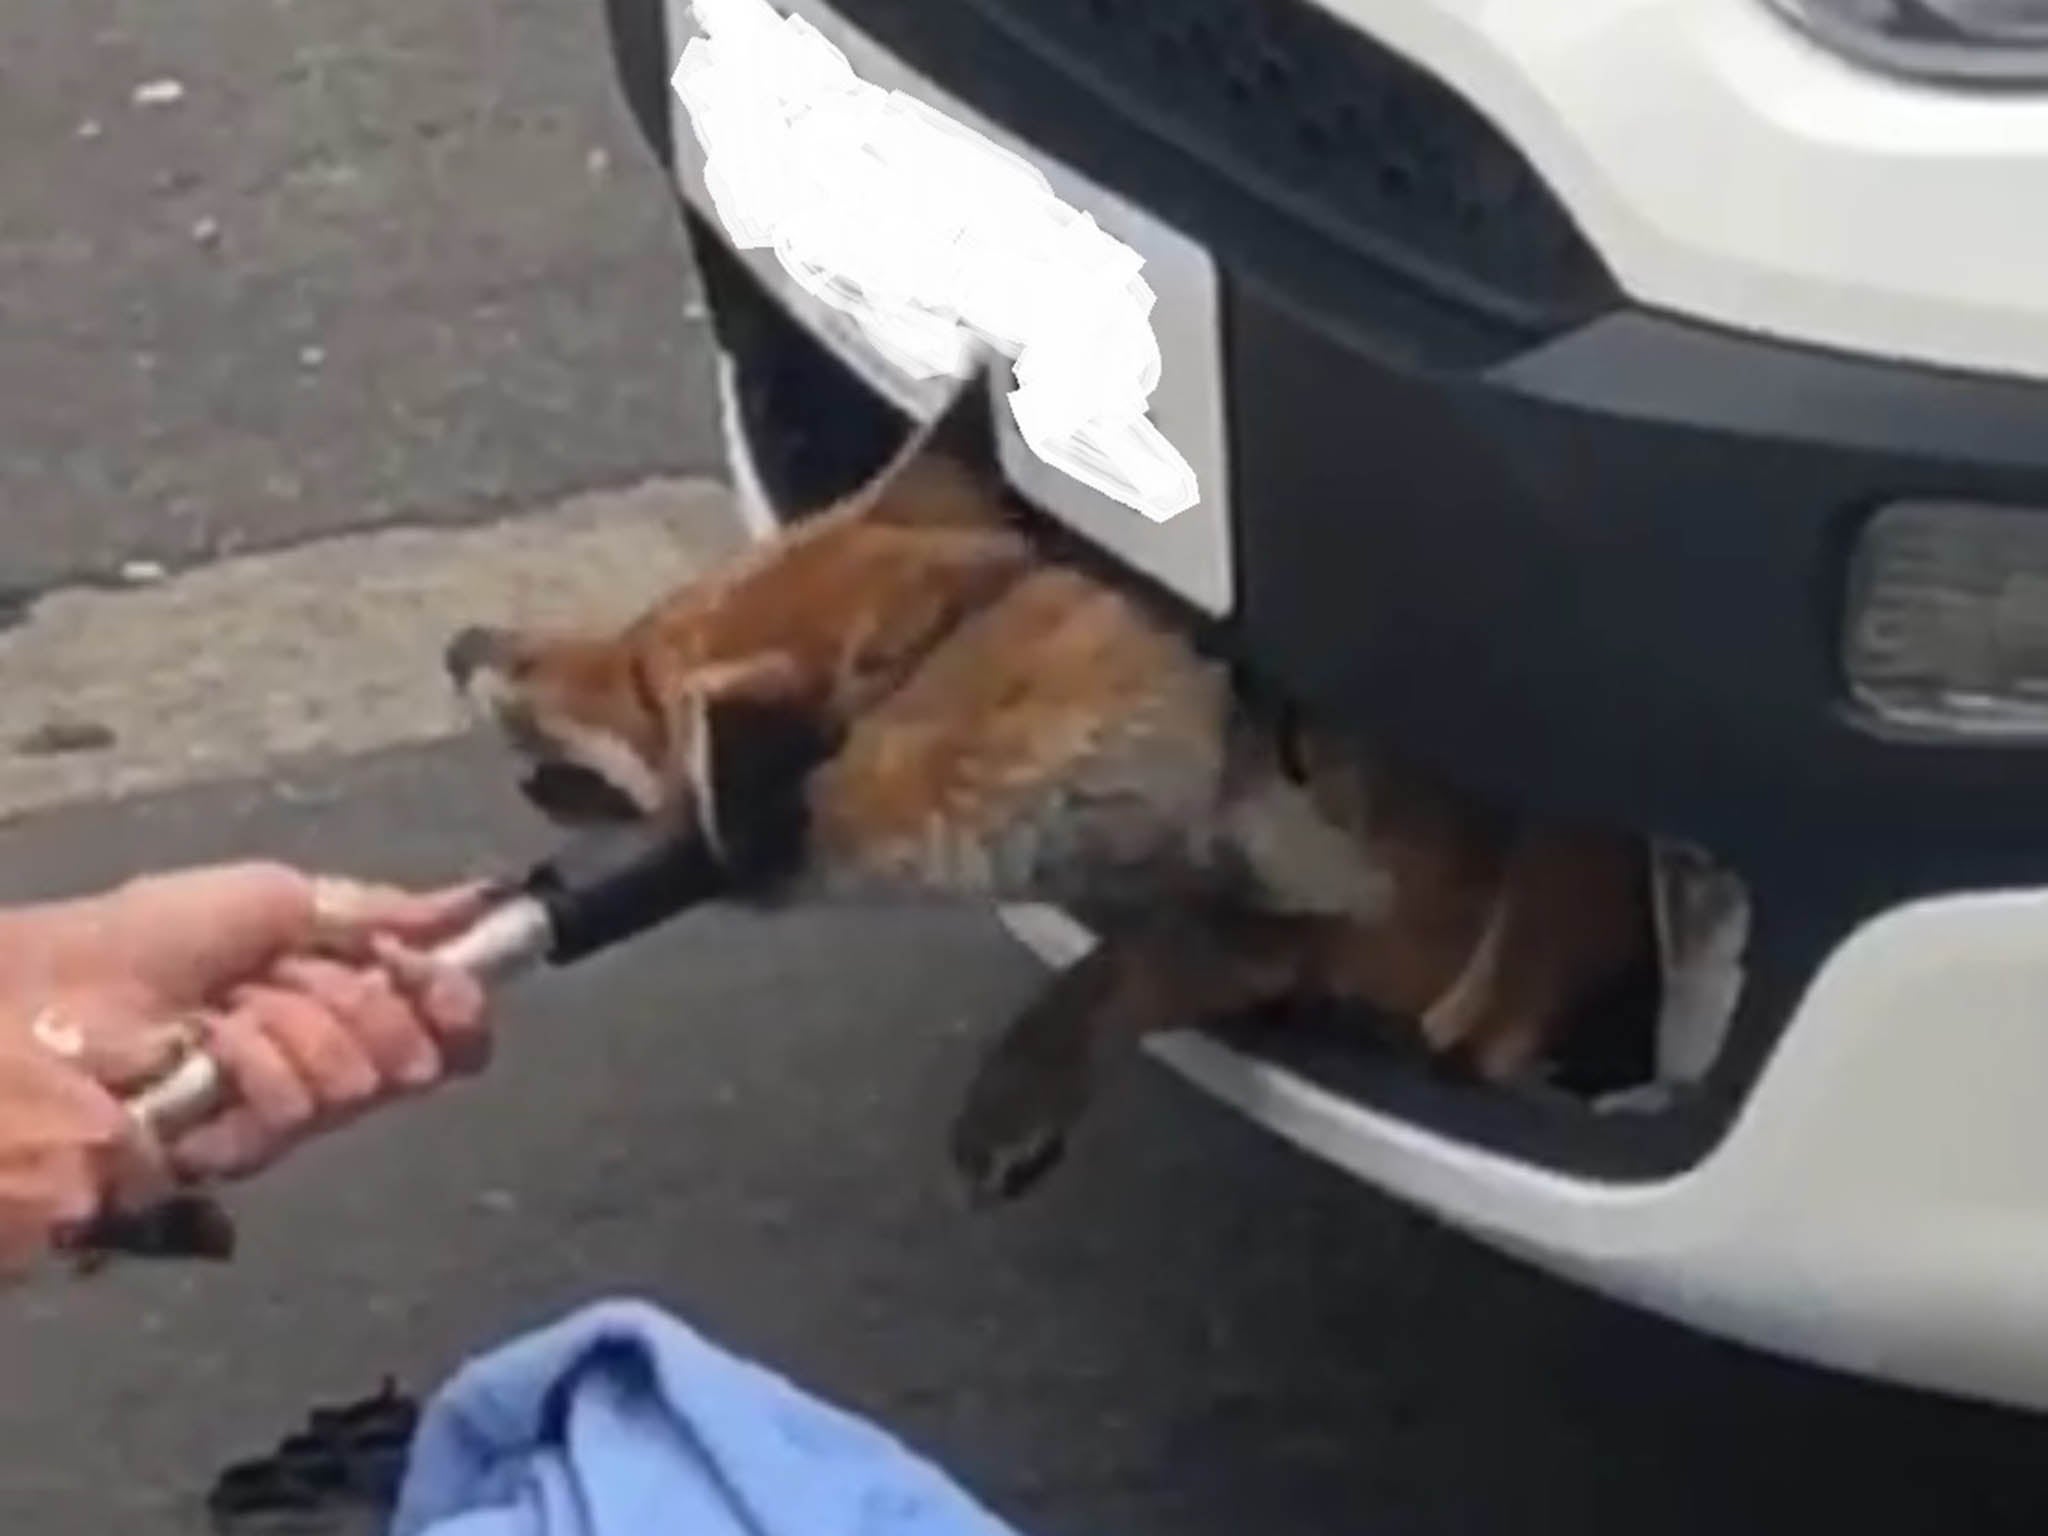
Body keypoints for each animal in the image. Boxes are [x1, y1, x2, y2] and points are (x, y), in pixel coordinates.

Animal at [444, 400, 1651, 1203]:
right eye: (643, 622)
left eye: (643, 683)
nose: (462, 644)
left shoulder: (1402, 929)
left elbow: (1149, 954)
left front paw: (1024, 1084)